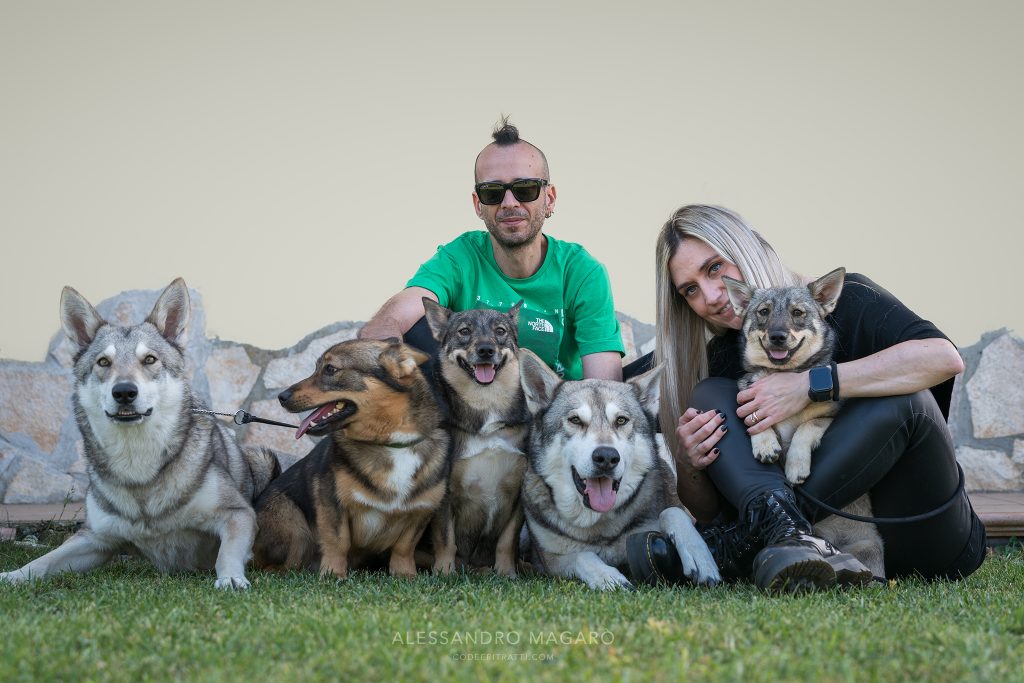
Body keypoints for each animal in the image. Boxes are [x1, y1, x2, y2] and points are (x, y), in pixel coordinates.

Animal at [0, 278, 279, 590]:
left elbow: (226, 553)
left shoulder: (238, 515)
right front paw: (13, 576)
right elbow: (43, 561)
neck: (137, 463)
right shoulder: (95, 538)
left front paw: (230, 578)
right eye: (103, 362)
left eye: (149, 359)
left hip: (262, 459)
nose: (124, 391)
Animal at [251, 339, 452, 579]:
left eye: (330, 369)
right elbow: (338, 542)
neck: (390, 443)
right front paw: (333, 575)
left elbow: (404, 547)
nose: (281, 397)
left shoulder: (421, 511)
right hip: (295, 527)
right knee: (274, 566)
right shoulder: (331, 502)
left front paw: (405, 575)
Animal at [422, 299, 529, 577]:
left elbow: (507, 540)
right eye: (464, 331)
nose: (486, 350)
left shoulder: (519, 492)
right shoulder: (445, 492)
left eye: (500, 331)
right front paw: (444, 573)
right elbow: (446, 539)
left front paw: (506, 572)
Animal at [517, 349, 721, 591]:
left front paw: (700, 556)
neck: (599, 528)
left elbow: (672, 512)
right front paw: (608, 577)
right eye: (575, 420)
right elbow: (581, 556)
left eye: (621, 420)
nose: (606, 457)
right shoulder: (548, 561)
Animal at [722, 267, 885, 578]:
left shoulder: (830, 416)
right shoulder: (750, 406)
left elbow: (805, 428)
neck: (783, 375)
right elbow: (756, 423)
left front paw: (796, 465)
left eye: (797, 313)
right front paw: (765, 445)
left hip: (868, 550)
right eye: (763, 312)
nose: (777, 336)